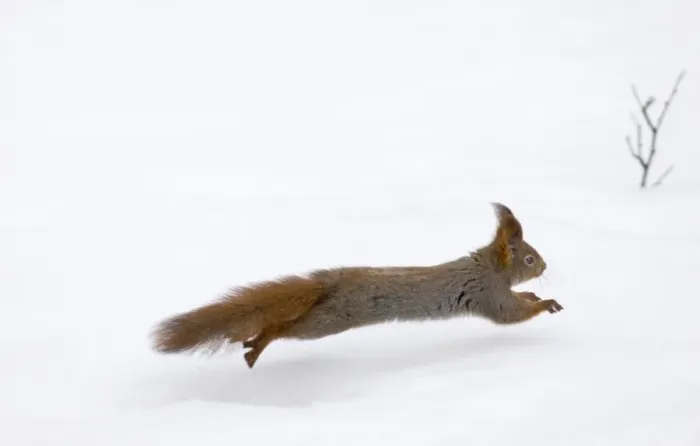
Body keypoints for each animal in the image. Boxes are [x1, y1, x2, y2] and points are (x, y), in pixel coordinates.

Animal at [151, 202, 563, 369]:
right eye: (529, 258)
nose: (545, 266)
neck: (489, 267)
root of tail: (334, 282)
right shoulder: (488, 294)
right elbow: (510, 314)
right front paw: (546, 302)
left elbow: (519, 300)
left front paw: (534, 294)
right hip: (328, 321)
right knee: (284, 328)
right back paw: (259, 344)